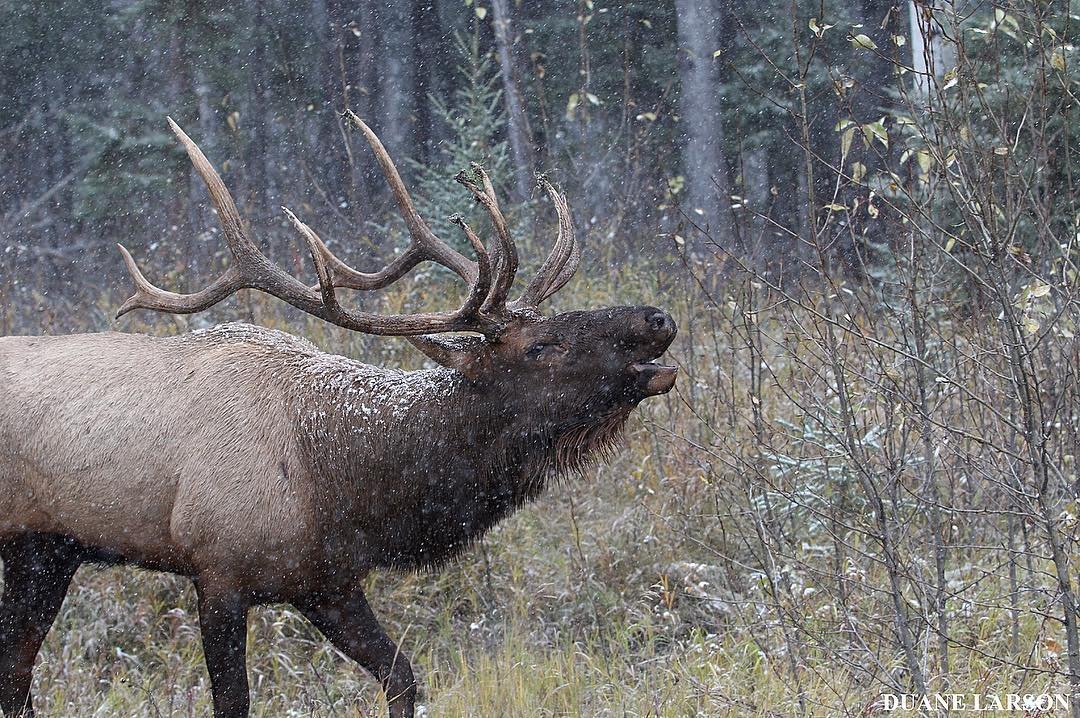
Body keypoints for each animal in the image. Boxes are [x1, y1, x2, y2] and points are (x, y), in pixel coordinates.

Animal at [0, 111, 677, 718]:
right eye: (540, 346)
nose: (659, 319)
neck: (339, 482)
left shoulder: (327, 581)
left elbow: (403, 677)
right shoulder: (216, 570)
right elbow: (233, 703)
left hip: (47, 551)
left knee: (18, 676)